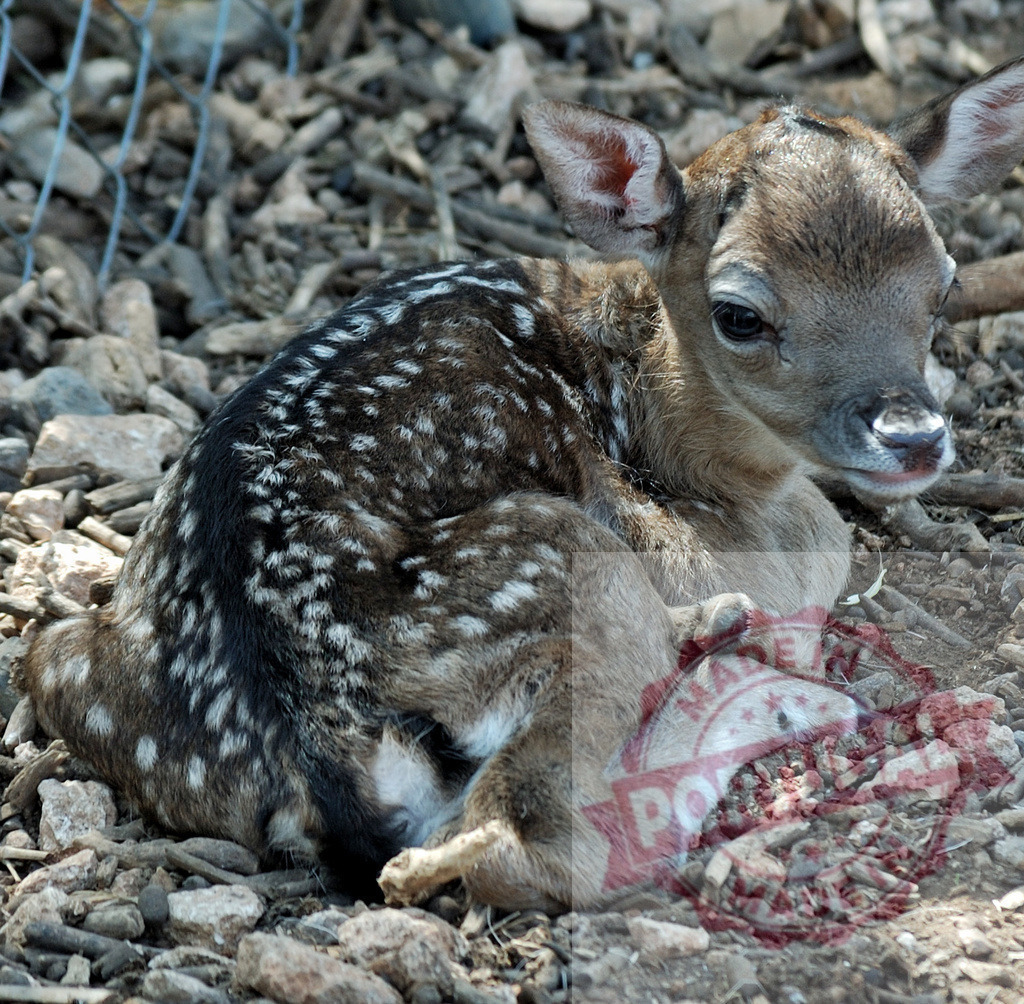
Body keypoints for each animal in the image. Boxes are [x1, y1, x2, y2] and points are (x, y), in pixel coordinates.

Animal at [14, 56, 1024, 912]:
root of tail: (320, 751)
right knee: (517, 842)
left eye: (944, 286)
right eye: (741, 314)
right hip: (563, 554)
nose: (913, 436)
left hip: (65, 659)